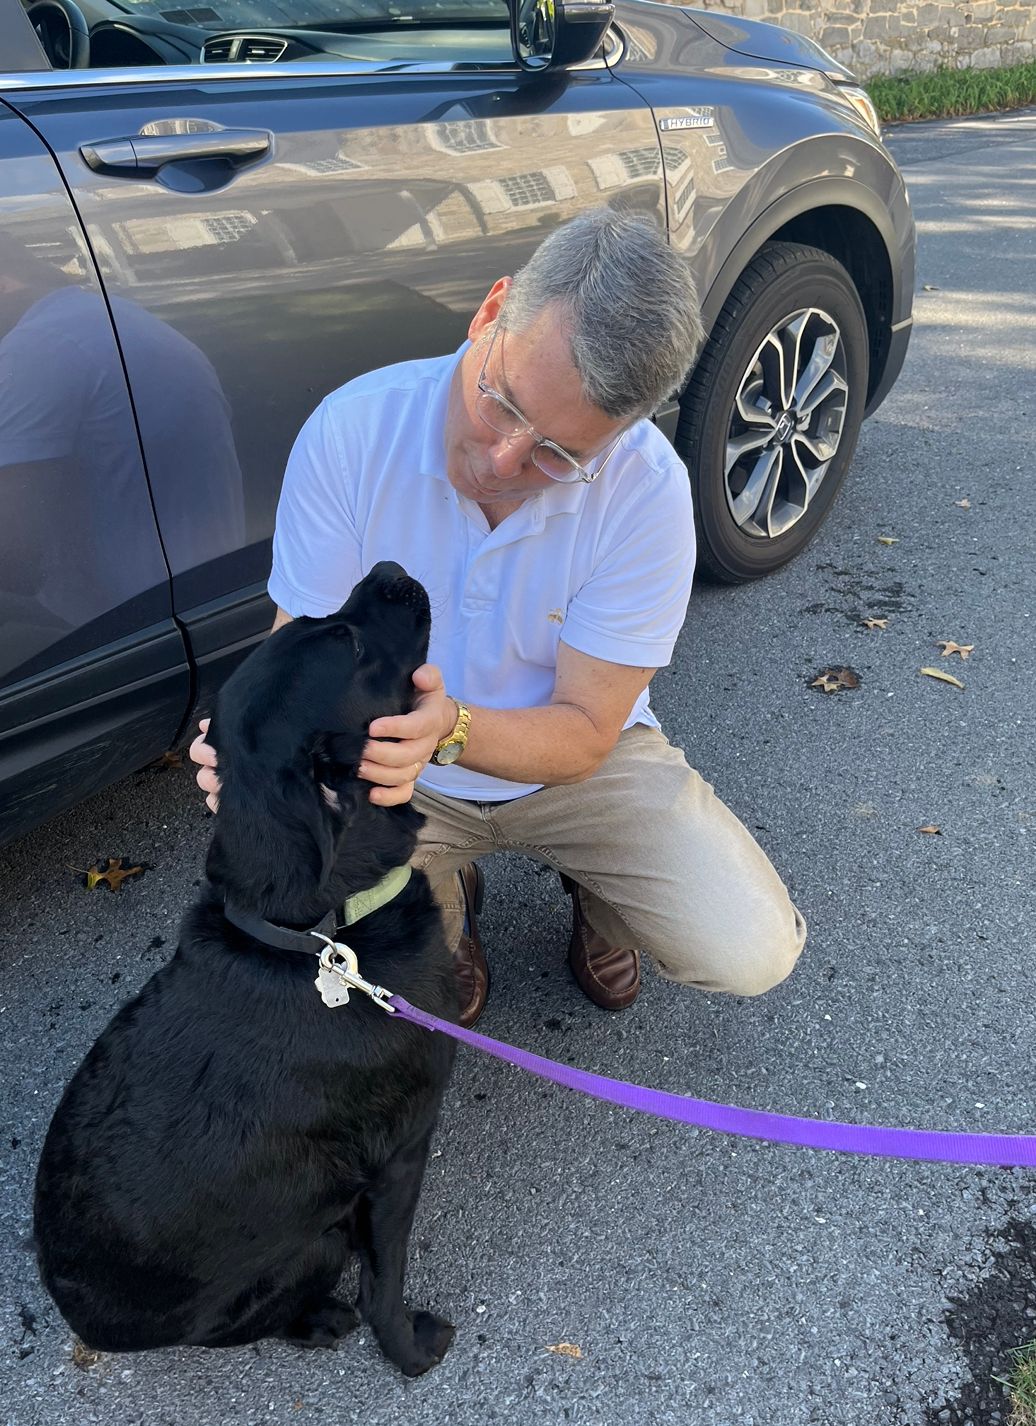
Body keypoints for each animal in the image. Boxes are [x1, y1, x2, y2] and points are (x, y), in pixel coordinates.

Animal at [31, 561, 458, 1374]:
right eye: (350, 643)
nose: (389, 570)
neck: (315, 935)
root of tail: (86, 1323)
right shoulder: (400, 1156)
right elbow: (385, 1281)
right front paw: (409, 1351)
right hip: (310, 1244)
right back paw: (320, 1320)